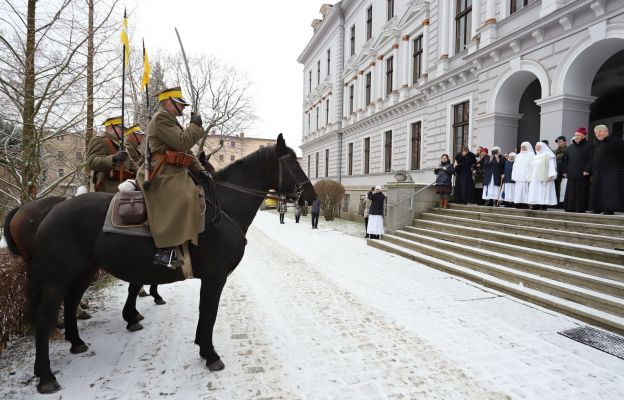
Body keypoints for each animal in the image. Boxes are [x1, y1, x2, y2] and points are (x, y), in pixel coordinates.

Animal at [3, 135, 316, 394]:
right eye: (291, 162)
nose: (312, 197)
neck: (223, 207)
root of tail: (49, 210)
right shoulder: (215, 277)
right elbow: (208, 312)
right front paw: (210, 354)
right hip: (58, 275)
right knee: (45, 315)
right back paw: (45, 376)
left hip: (83, 271)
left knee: (69, 303)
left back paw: (76, 342)